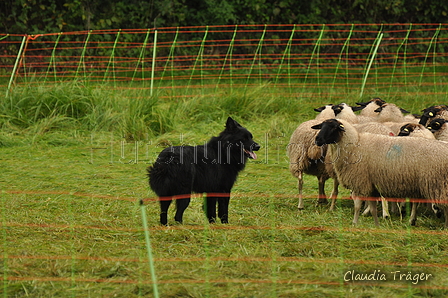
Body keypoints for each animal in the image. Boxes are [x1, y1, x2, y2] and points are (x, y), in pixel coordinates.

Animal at [314, 117, 448, 227]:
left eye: (333, 127)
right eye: (321, 126)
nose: (317, 139)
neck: (355, 145)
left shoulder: (360, 181)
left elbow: (358, 204)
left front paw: (355, 222)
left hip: (437, 184)